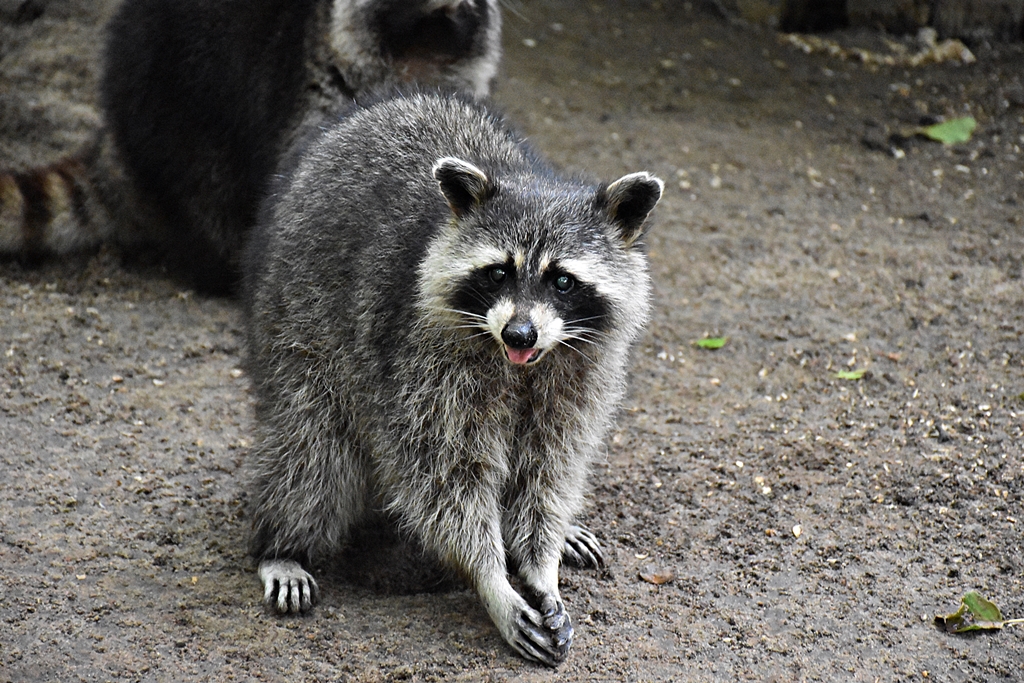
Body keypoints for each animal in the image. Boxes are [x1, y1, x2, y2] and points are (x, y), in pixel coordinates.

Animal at [243, 91, 663, 666]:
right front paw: (492, 578)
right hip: (295, 319)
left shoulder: (581, 370)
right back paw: (282, 544)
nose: (519, 333)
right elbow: (445, 475)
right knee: (312, 451)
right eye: (499, 272)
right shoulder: (422, 362)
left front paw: (541, 562)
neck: (521, 364)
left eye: (562, 280)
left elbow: (549, 467)